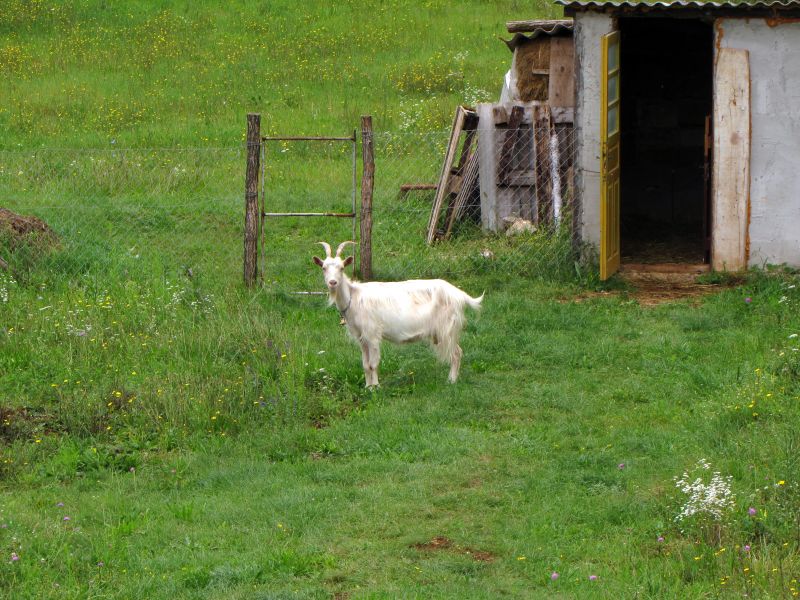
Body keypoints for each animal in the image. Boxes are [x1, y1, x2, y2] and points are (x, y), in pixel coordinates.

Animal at [314, 241, 484, 386]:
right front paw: (368, 386)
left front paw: (376, 388)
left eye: (342, 268)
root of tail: (459, 294)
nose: (333, 282)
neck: (353, 297)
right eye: (324, 268)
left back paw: (451, 381)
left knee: (456, 353)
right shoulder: (361, 338)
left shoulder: (372, 334)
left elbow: (373, 364)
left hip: (447, 328)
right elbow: (365, 364)